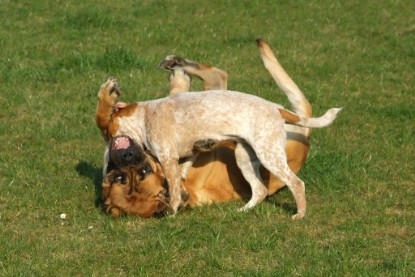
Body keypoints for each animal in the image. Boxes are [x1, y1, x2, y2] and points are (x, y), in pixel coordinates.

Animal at [97, 38, 342, 218]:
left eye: (139, 174)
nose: (122, 158)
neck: (146, 114)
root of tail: (277, 109)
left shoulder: (167, 157)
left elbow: (174, 188)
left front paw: (172, 210)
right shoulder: (183, 156)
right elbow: (181, 174)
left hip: (269, 155)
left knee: (297, 183)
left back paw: (299, 215)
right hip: (245, 158)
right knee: (260, 190)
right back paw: (243, 210)